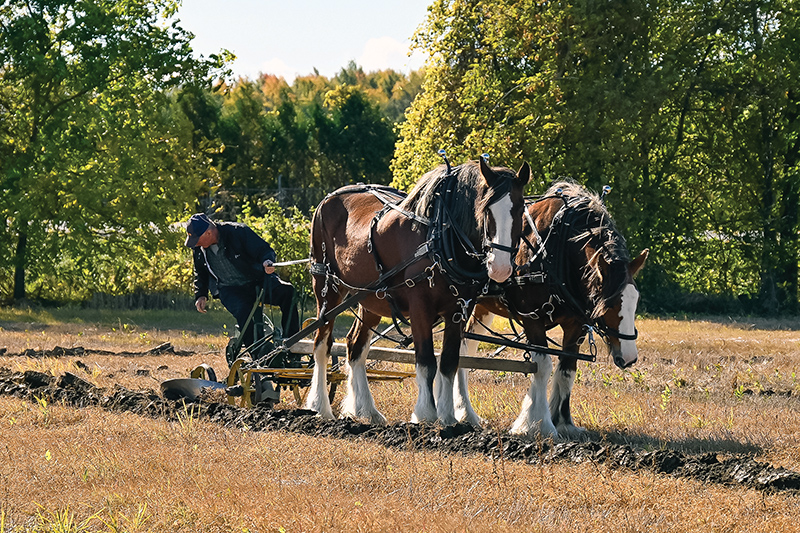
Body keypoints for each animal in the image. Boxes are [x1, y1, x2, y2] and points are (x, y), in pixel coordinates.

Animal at [306, 157, 532, 424]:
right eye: (485, 209)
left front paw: (448, 416)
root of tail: (328, 199)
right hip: (327, 289)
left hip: (371, 299)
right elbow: (426, 362)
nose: (500, 267)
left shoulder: (458, 310)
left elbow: (449, 362)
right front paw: (425, 414)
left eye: (520, 209)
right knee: (322, 343)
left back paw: (368, 411)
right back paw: (320, 406)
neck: (438, 237)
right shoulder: (420, 307)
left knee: (355, 347)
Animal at [454, 181, 648, 438]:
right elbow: (543, 365)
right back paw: (464, 412)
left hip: (482, 307)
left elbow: (567, 369)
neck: (556, 250)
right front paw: (536, 423)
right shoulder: (532, 318)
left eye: (635, 301)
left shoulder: (576, 325)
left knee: (467, 347)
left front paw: (564, 421)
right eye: (609, 304)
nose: (628, 358)